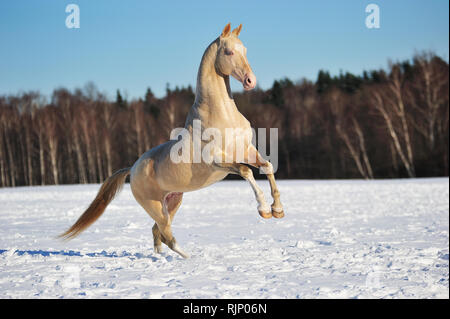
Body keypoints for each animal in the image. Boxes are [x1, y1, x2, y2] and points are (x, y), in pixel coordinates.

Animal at [59, 24, 284, 260]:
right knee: (166, 235)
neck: (222, 115)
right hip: (155, 206)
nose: (251, 81)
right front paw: (263, 209)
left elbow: (267, 166)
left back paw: (161, 257)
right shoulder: (217, 161)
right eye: (229, 52)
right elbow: (246, 171)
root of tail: (132, 168)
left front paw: (277, 210)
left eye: (245, 50)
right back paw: (188, 258)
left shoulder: (246, 150)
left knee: (156, 231)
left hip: (173, 201)